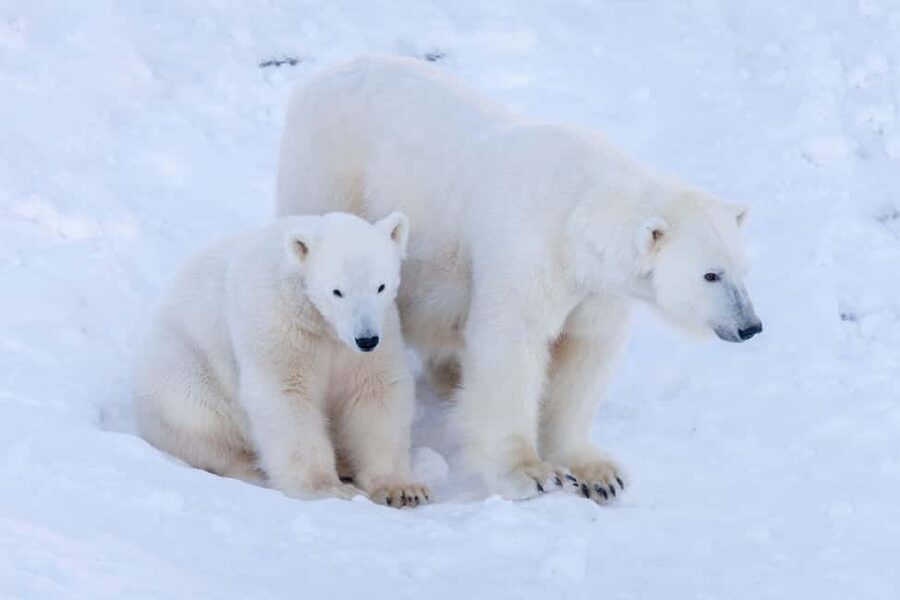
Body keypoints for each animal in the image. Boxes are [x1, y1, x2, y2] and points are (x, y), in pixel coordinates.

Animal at [134, 211, 431, 507]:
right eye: (337, 291)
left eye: (381, 286)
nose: (366, 339)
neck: (322, 323)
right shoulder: (280, 323)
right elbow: (286, 395)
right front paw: (329, 489)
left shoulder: (376, 334)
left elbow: (374, 393)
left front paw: (403, 490)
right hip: (183, 368)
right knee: (201, 420)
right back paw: (254, 468)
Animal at [276, 56, 762, 503]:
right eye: (710, 274)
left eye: (743, 268)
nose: (750, 326)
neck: (579, 212)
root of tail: (319, 77)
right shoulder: (530, 247)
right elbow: (511, 343)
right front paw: (530, 473)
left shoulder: (597, 290)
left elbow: (585, 354)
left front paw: (599, 474)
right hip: (330, 176)